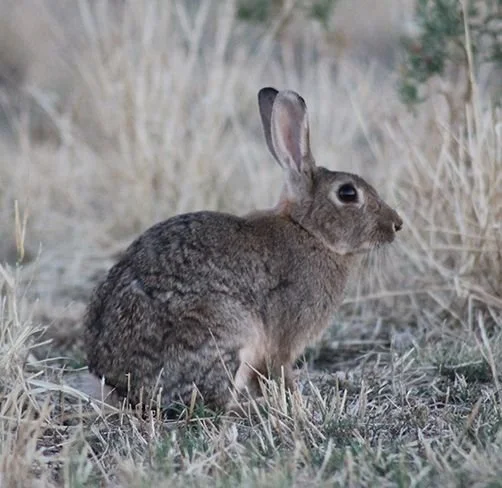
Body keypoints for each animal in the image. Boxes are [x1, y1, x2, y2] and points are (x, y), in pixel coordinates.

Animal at [83, 86, 404, 412]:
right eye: (348, 193)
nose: (397, 224)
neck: (308, 231)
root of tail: (120, 382)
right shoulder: (283, 339)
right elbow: (281, 372)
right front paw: (298, 404)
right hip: (226, 330)